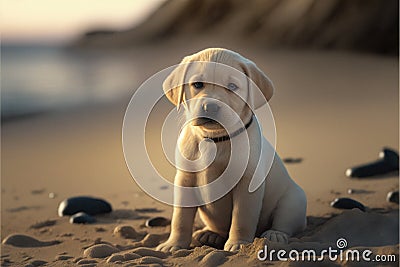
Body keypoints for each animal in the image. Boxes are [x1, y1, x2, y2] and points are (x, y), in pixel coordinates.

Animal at [156, 48, 306, 253]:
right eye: (197, 84)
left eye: (233, 86)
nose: (210, 106)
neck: (215, 139)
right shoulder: (185, 179)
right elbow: (180, 218)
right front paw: (174, 244)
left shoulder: (248, 183)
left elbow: (242, 217)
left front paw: (238, 243)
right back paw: (210, 234)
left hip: (294, 199)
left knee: (285, 221)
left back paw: (275, 234)